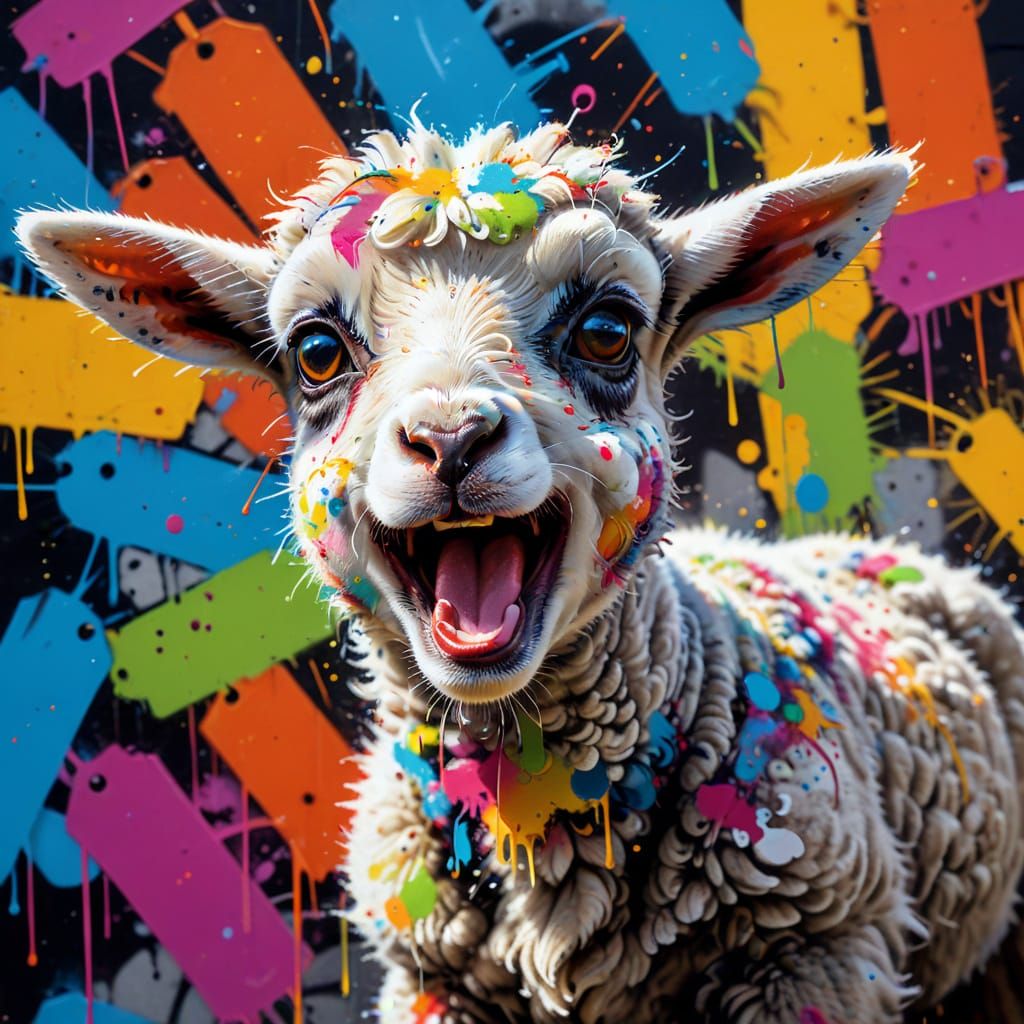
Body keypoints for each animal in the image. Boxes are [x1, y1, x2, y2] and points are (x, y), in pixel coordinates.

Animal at [17, 120, 1024, 1024]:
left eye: (609, 329)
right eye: (315, 351)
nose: (451, 437)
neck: (535, 799)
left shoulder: (817, 948)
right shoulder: (434, 981)